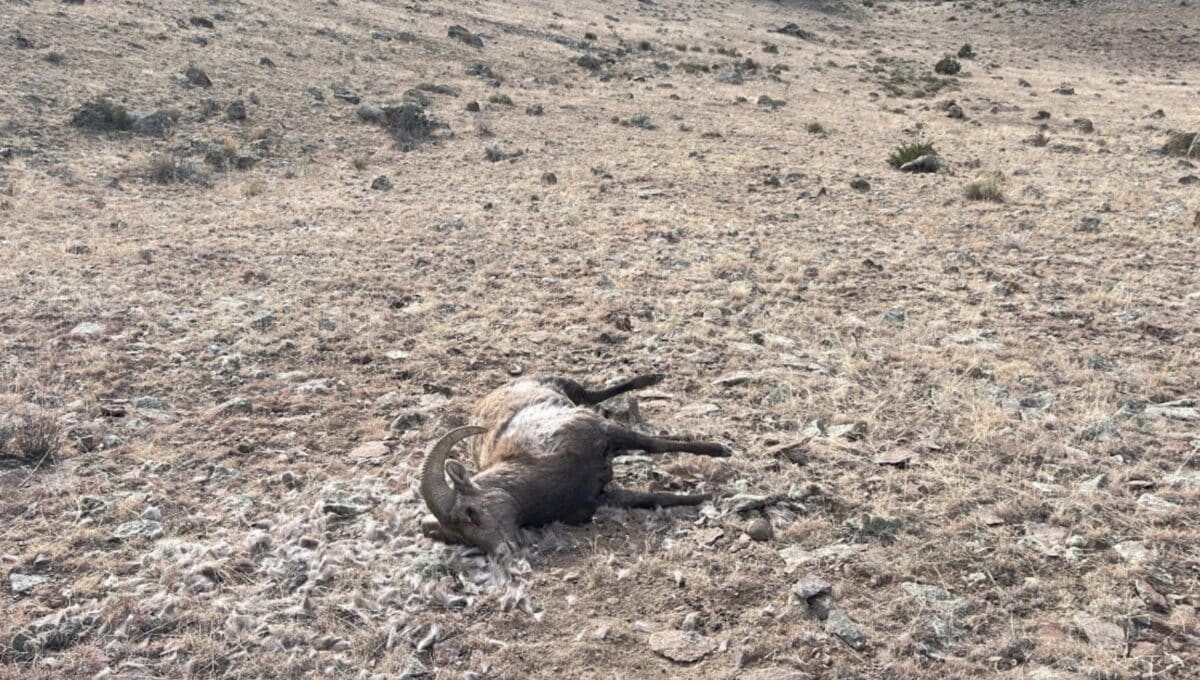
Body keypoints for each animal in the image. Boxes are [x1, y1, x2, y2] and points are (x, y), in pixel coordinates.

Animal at [419, 374, 731, 556]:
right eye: (461, 538)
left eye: (470, 512)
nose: (503, 552)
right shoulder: (602, 497)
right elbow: (657, 497)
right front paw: (709, 496)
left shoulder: (604, 431)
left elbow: (656, 444)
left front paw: (720, 450)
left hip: (570, 388)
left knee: (593, 394)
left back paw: (651, 377)